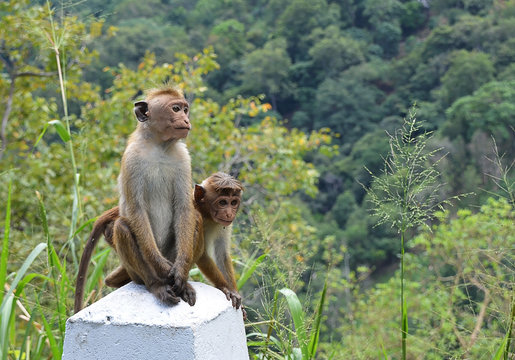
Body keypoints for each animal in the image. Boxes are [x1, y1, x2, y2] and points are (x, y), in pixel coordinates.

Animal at [75, 86, 199, 310]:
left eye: (185, 109)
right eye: (175, 109)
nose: (186, 120)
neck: (160, 146)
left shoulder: (184, 158)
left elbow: (185, 208)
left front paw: (181, 271)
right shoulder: (132, 158)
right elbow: (136, 210)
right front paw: (160, 266)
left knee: (195, 220)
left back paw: (183, 283)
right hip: (135, 271)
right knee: (122, 227)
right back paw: (156, 284)